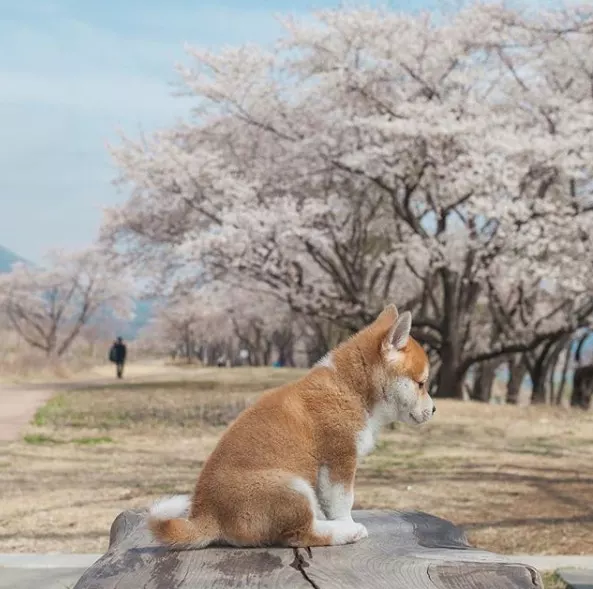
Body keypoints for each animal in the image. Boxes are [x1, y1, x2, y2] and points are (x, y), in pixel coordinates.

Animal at [148, 304, 434, 548]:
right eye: (421, 383)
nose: (434, 409)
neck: (350, 388)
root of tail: (208, 516)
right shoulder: (340, 460)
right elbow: (343, 502)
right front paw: (347, 522)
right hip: (291, 487)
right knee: (301, 534)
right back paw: (346, 532)